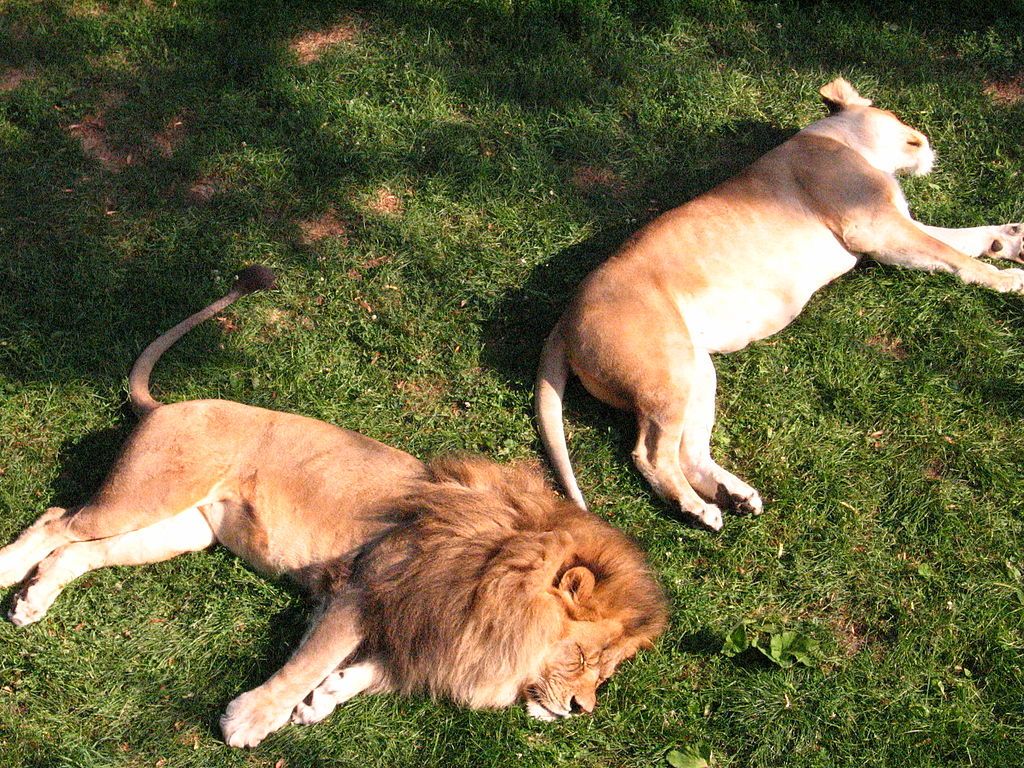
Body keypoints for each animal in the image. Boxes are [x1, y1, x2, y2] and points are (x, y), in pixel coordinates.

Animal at [0, 267, 668, 748]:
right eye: (583, 657)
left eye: (605, 674)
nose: (580, 709)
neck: (496, 578)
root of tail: (168, 405)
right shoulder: (364, 586)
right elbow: (306, 662)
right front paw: (251, 720)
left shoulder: (424, 627)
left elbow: (368, 671)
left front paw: (324, 698)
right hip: (146, 495)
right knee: (56, 521)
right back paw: (10, 574)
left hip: (180, 531)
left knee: (81, 553)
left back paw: (35, 601)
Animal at [536, 77, 1024, 530]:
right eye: (896, 116)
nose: (924, 138)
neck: (840, 139)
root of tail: (565, 318)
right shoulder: (873, 228)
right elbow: (957, 256)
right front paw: (1009, 279)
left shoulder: (892, 230)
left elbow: (963, 240)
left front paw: (1009, 240)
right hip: (666, 375)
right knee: (650, 453)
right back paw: (698, 510)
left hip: (695, 371)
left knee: (689, 451)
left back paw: (735, 495)